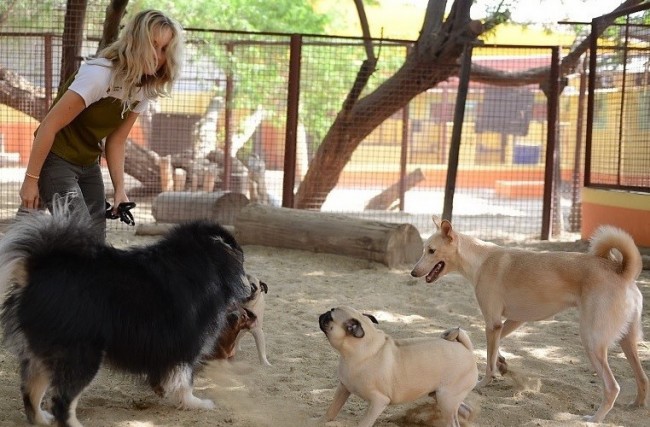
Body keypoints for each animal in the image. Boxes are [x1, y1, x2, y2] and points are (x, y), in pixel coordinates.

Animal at [0, 197, 248, 427]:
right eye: (243, 262)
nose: (253, 286)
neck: (203, 263)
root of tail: (38, 268)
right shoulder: (189, 343)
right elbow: (186, 380)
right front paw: (195, 403)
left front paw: (162, 391)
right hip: (81, 354)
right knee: (61, 400)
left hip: (44, 354)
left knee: (31, 392)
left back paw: (42, 419)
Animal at [318, 308, 476, 427]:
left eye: (329, 317)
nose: (323, 313)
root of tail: (466, 350)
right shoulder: (344, 388)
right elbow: (331, 411)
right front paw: (322, 421)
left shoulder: (378, 402)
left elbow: (364, 423)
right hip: (442, 397)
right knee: (465, 411)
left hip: (446, 399)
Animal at [408, 219, 644, 422]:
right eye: (424, 249)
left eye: (431, 250)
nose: (412, 272)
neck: (480, 260)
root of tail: (622, 272)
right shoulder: (513, 320)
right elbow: (494, 349)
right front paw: (502, 363)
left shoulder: (492, 323)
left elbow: (488, 361)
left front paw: (484, 382)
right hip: (626, 341)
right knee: (643, 379)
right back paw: (637, 405)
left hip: (592, 341)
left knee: (612, 387)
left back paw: (595, 419)